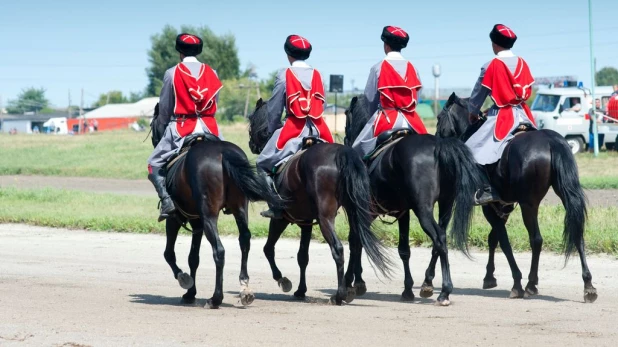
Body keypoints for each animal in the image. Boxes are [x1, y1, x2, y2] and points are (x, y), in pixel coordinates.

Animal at [150, 107, 282, 308]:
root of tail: (223, 153)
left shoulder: (175, 219)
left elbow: (169, 254)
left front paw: (184, 280)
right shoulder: (196, 223)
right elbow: (193, 258)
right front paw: (191, 293)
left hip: (209, 216)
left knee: (219, 251)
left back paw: (215, 298)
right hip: (239, 210)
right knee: (245, 240)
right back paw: (245, 288)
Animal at [245, 99, 390, 306]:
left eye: (251, 123)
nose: (251, 144)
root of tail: (341, 153)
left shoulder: (280, 219)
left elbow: (268, 249)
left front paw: (283, 280)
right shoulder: (306, 222)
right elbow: (302, 257)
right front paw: (300, 290)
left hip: (325, 218)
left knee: (338, 249)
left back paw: (340, 294)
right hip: (353, 212)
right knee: (355, 242)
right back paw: (352, 287)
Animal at [342, 96, 482, 306]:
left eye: (346, 118)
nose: (345, 140)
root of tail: (438, 146)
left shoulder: (363, 211)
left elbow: (356, 242)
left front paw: (351, 283)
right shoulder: (403, 212)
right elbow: (403, 250)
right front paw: (408, 289)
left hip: (423, 210)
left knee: (439, 238)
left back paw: (444, 291)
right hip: (445, 205)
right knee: (440, 240)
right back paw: (429, 284)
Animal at [434, 94, 596, 304]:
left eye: (439, 117)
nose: (436, 139)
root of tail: (551, 141)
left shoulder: (490, 207)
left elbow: (503, 241)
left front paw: (516, 282)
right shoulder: (503, 207)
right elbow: (493, 238)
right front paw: (489, 277)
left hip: (528, 205)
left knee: (536, 239)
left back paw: (530, 284)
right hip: (563, 197)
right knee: (577, 233)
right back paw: (588, 285)